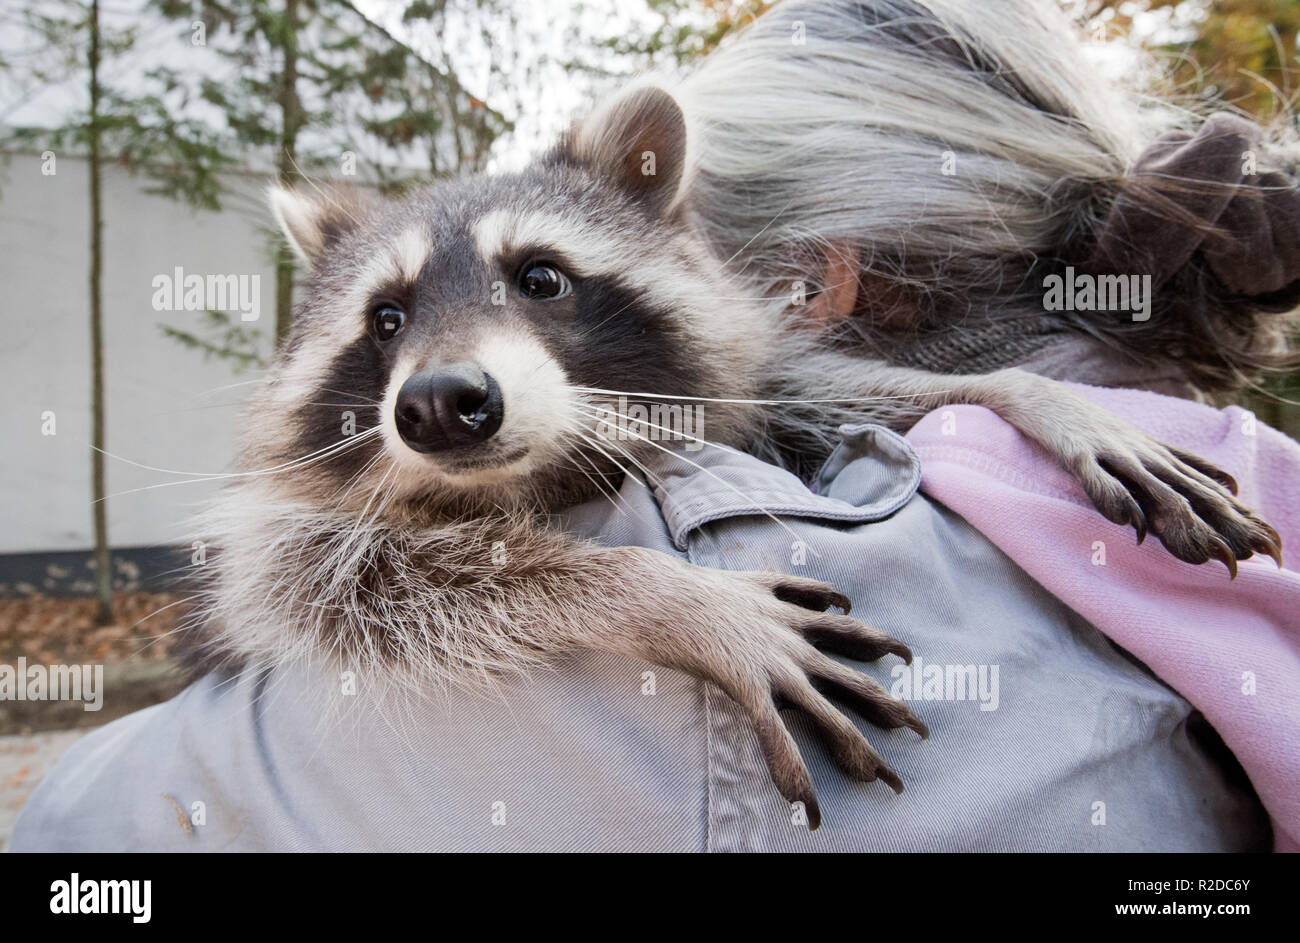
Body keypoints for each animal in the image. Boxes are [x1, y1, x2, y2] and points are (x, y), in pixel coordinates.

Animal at [189, 84, 1279, 827]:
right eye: (385, 319)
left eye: (541, 278)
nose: (438, 405)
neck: (534, 476)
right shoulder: (293, 537)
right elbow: (350, 582)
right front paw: (670, 596)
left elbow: (816, 390)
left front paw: (1038, 394)